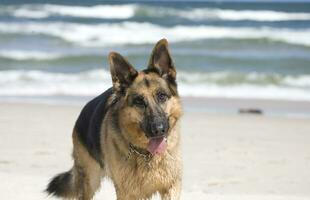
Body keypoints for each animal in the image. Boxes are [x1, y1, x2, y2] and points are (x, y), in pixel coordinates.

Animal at [45, 39, 182, 200]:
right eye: (139, 101)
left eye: (162, 96)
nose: (159, 129)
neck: (146, 154)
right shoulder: (127, 193)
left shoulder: (171, 186)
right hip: (90, 180)